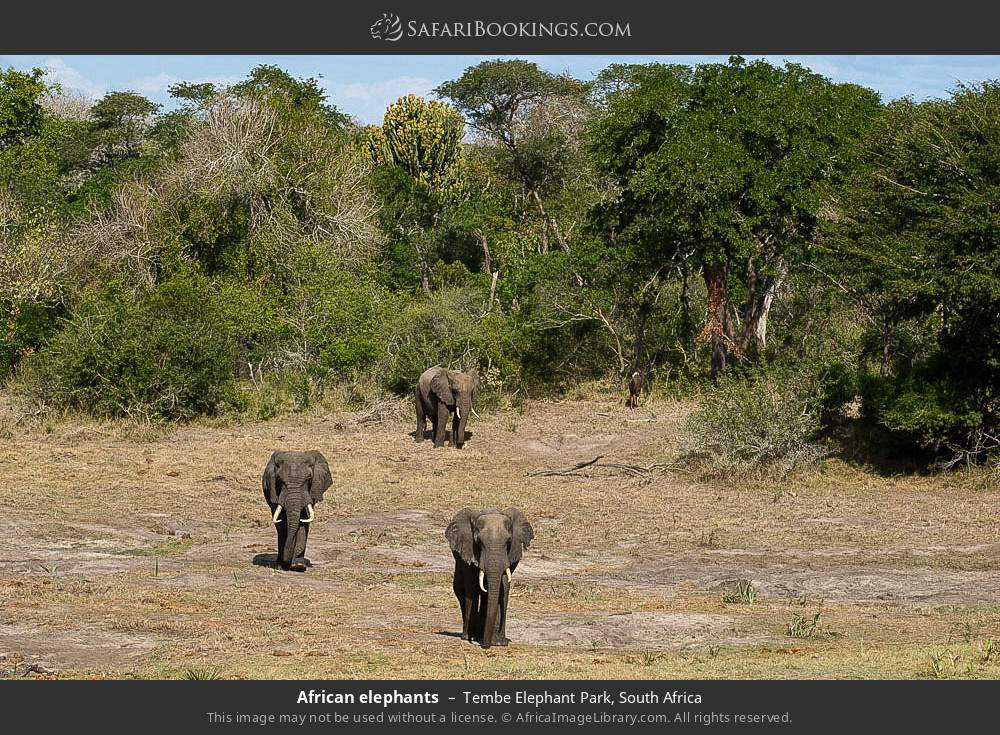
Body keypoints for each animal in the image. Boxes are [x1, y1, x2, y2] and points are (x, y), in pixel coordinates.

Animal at [445, 507, 534, 648]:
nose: (485, 646)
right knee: (460, 589)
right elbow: (472, 587)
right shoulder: (469, 550)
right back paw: (469, 635)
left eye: (508, 541)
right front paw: (473, 638)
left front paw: (498, 642)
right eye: (479, 542)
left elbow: (503, 587)